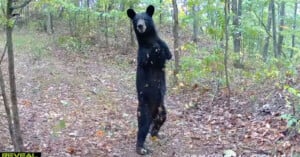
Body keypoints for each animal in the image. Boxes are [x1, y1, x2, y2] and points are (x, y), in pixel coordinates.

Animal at [126, 4, 172, 155]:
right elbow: (147, 59)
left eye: (145, 19)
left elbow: (168, 53)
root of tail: (153, 112)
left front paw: (159, 49)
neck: (148, 39)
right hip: (144, 109)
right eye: (136, 20)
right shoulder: (142, 53)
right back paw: (141, 148)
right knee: (142, 128)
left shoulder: (163, 45)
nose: (140, 26)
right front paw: (154, 50)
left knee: (161, 119)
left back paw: (155, 133)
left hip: (162, 109)